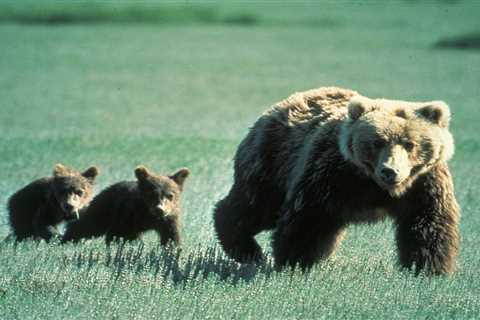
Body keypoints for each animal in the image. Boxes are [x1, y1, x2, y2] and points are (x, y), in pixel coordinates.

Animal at [62, 165, 190, 245]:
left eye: (170, 195)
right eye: (152, 194)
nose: (160, 209)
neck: (149, 215)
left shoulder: (169, 218)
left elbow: (171, 236)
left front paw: (172, 248)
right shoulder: (130, 214)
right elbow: (123, 234)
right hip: (104, 208)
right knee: (89, 224)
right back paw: (67, 239)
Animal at [215, 87, 462, 276]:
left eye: (410, 144)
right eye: (377, 142)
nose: (390, 171)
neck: (376, 187)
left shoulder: (424, 184)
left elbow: (427, 224)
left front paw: (428, 269)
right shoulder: (332, 174)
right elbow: (310, 216)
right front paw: (295, 262)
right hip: (272, 162)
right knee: (253, 206)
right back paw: (247, 250)